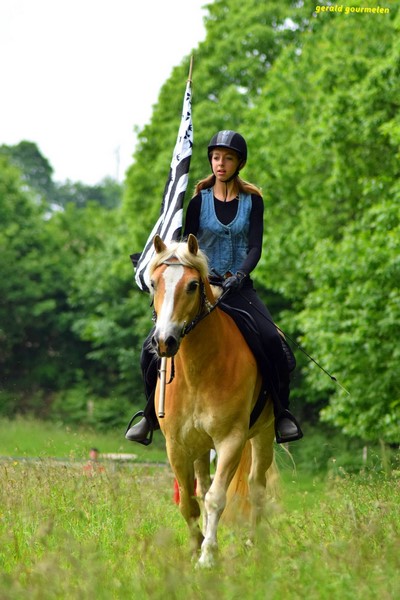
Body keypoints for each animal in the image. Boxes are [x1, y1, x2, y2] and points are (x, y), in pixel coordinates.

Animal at [149, 233, 276, 567]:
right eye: (153, 283)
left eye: (192, 285)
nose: (164, 342)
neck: (199, 370)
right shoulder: (177, 446)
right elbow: (190, 501)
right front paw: (196, 547)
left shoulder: (231, 440)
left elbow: (216, 498)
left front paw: (207, 557)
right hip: (200, 445)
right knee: (203, 486)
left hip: (264, 434)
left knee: (256, 487)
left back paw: (252, 545)